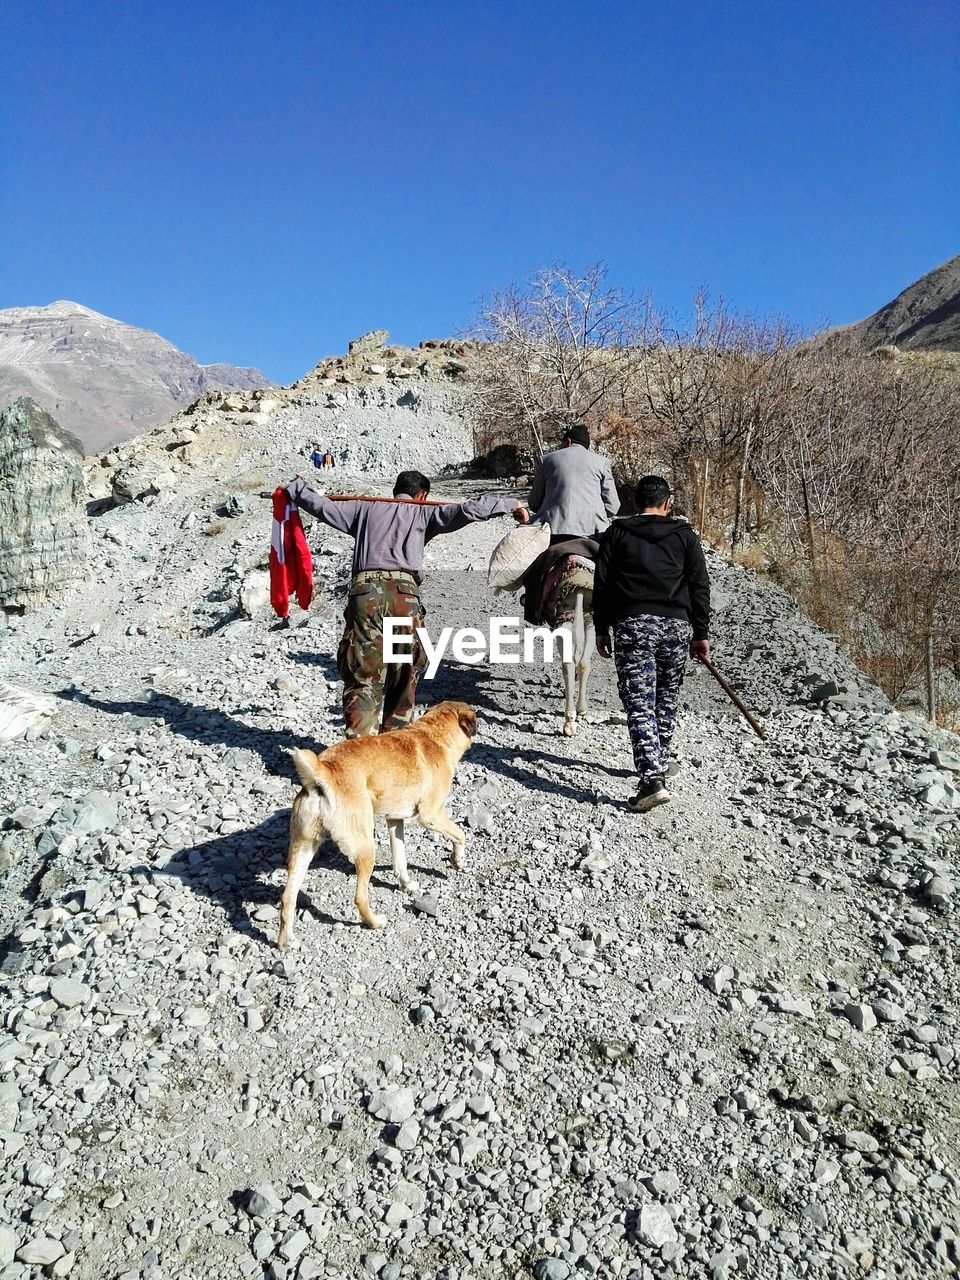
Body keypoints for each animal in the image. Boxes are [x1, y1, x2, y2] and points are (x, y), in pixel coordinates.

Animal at [276, 696, 478, 947]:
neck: (433, 735)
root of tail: (322, 772)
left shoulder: (395, 820)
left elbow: (400, 859)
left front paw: (406, 885)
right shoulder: (430, 816)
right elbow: (461, 834)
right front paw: (457, 860)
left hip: (302, 848)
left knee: (287, 897)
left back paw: (286, 942)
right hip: (365, 848)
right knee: (359, 897)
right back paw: (374, 922)